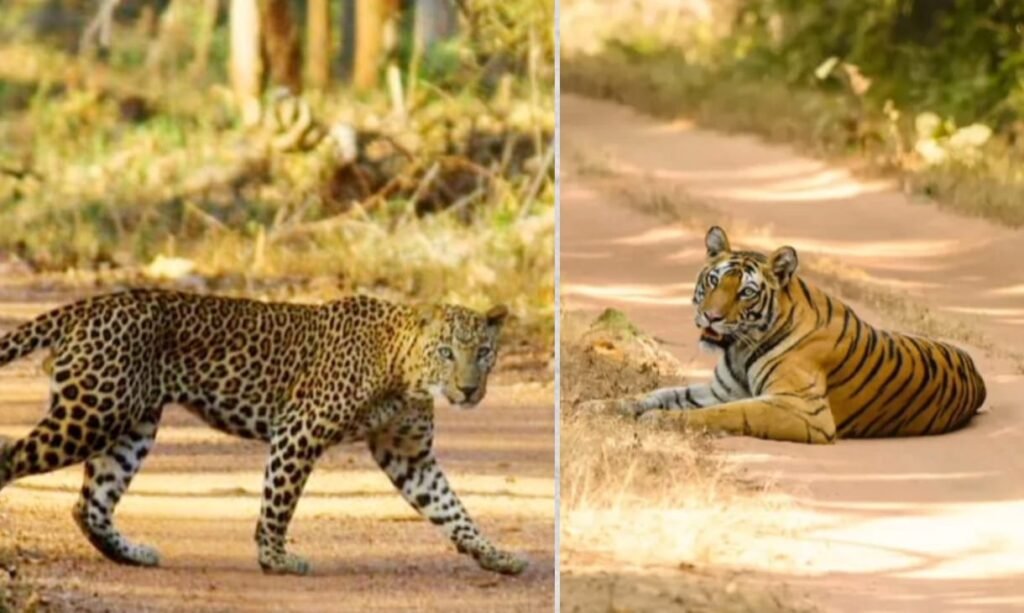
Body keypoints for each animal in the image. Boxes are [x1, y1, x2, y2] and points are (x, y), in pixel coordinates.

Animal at [578, 226, 987, 444]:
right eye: (713, 281)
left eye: (745, 292)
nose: (711, 316)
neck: (739, 348)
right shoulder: (720, 390)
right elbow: (657, 393)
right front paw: (597, 407)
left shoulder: (804, 411)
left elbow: (729, 414)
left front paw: (661, 422)